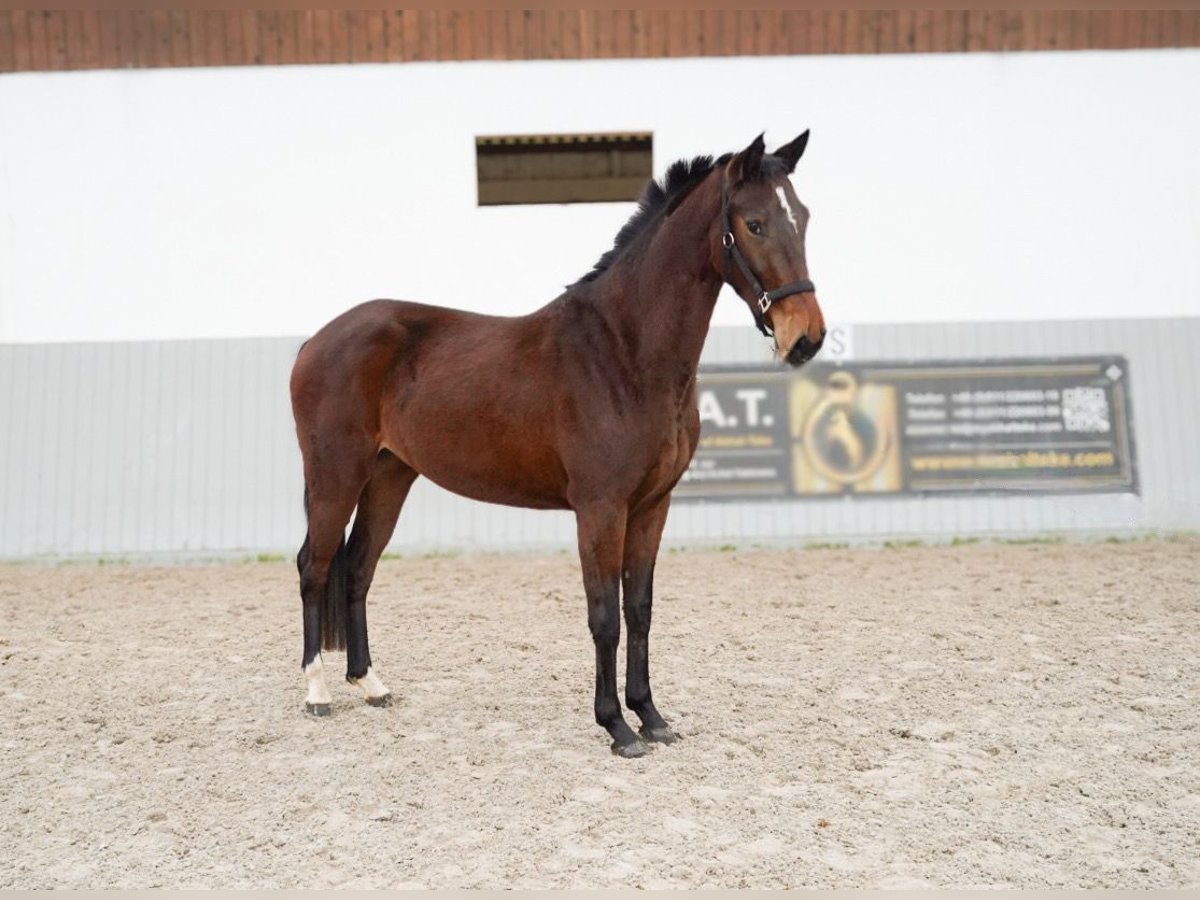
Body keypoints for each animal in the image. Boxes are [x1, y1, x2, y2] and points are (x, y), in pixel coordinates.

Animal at [290, 130, 825, 758]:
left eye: (802, 218)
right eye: (754, 223)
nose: (806, 337)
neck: (622, 351)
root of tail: (316, 341)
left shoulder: (652, 507)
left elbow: (639, 611)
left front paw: (652, 717)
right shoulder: (600, 509)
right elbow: (605, 617)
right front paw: (617, 727)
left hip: (389, 476)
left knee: (358, 567)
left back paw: (371, 684)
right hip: (335, 476)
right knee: (314, 566)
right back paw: (317, 692)